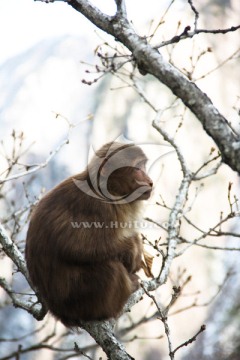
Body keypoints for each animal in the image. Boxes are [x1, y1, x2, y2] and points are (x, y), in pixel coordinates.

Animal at [25, 141, 153, 326]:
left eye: (143, 165)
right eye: (137, 168)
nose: (150, 182)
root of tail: (60, 312)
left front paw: (137, 246)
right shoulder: (99, 206)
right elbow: (78, 248)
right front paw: (133, 250)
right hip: (80, 298)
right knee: (111, 269)